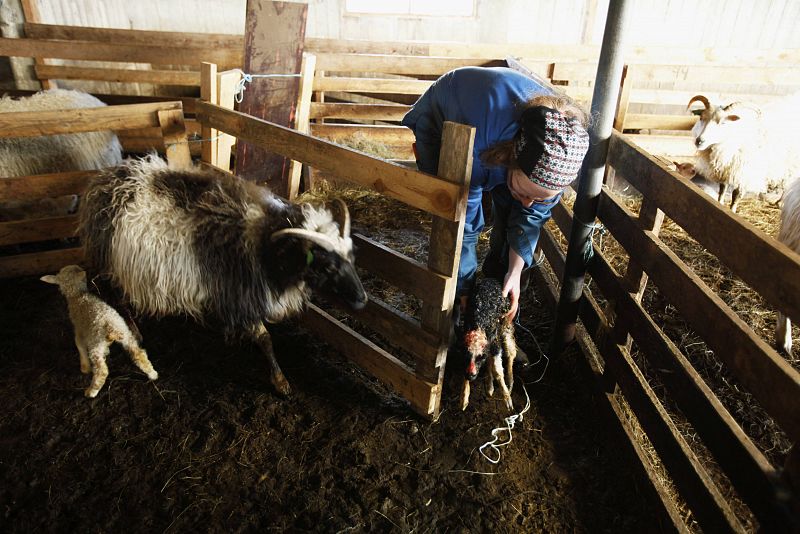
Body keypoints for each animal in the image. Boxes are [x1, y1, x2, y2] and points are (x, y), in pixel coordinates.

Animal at [41, 264, 159, 398]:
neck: (78, 295)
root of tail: (112, 328)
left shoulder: (79, 330)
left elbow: (79, 345)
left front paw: (85, 368)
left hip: (96, 345)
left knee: (102, 371)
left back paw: (91, 392)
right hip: (127, 335)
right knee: (139, 354)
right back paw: (153, 374)